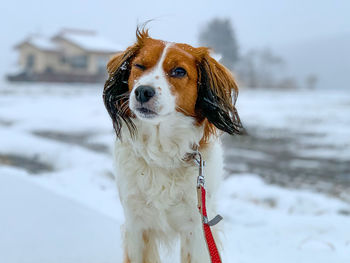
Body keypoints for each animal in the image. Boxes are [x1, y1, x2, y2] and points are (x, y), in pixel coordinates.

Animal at [102, 27, 242, 262]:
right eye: (139, 66)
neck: (162, 152)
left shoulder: (197, 229)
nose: (143, 91)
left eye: (179, 71)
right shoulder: (136, 225)